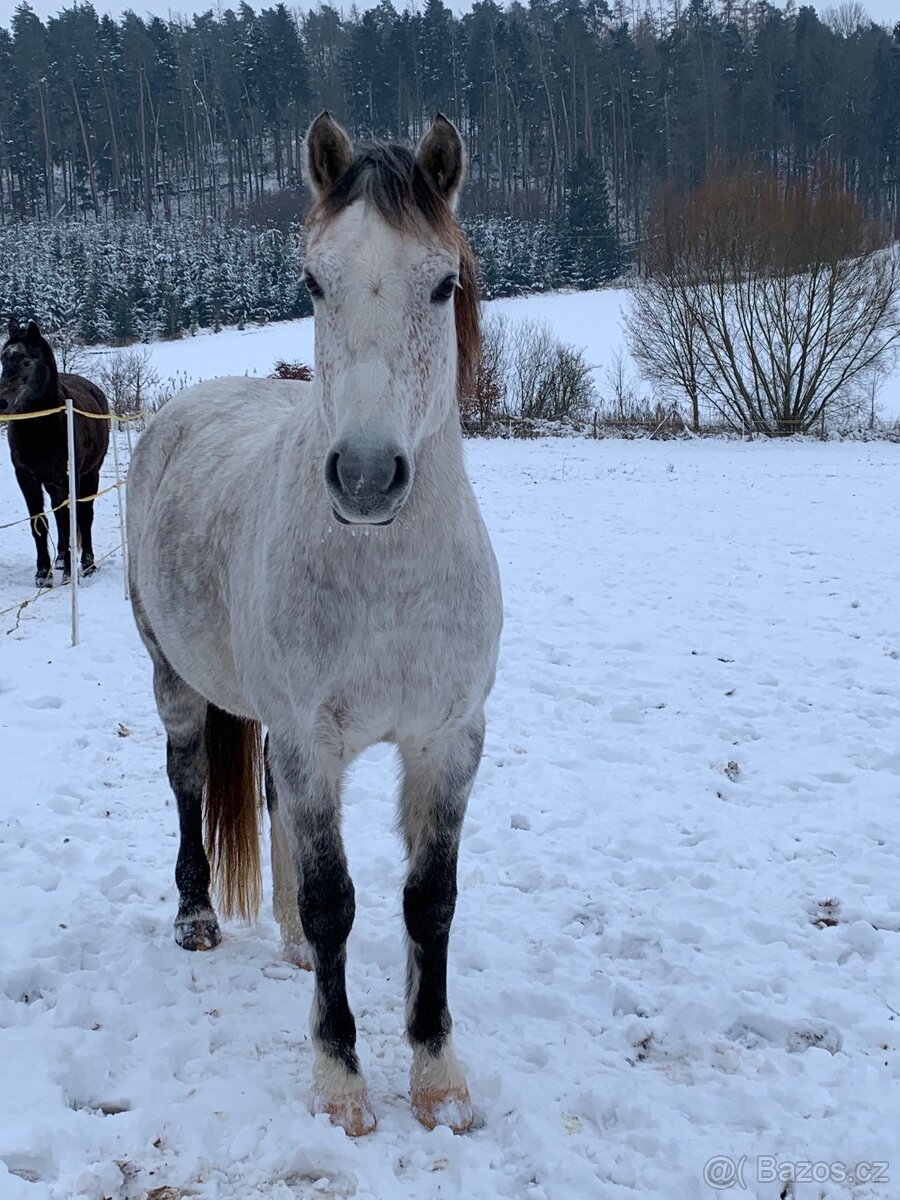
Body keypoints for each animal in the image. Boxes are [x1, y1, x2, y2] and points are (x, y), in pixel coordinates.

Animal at [0, 318, 110, 587]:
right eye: (3, 360)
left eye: (26, 362)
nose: (1, 402)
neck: (43, 429)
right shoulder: (27, 478)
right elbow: (39, 522)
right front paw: (43, 573)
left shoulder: (68, 477)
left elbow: (70, 519)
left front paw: (70, 572)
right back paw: (60, 560)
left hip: (90, 474)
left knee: (84, 516)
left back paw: (87, 564)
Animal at [126, 113, 503, 1136]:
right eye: (313, 281)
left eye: (441, 282)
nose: (367, 478)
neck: (387, 583)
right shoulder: (309, 737)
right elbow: (340, 899)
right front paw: (340, 1082)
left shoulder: (448, 740)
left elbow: (431, 903)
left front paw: (439, 1078)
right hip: (176, 680)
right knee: (187, 781)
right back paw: (196, 920)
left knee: (266, 800)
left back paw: (290, 941)